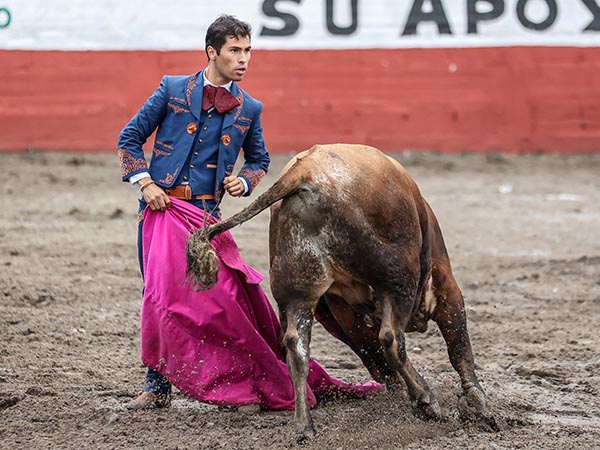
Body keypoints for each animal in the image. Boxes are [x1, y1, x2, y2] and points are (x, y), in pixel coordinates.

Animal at [186, 144, 496, 438]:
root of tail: (304, 172)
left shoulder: (343, 311)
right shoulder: (445, 287)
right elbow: (459, 346)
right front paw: (478, 405)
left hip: (299, 292)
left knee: (297, 348)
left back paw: (304, 427)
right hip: (398, 281)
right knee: (391, 339)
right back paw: (426, 399)